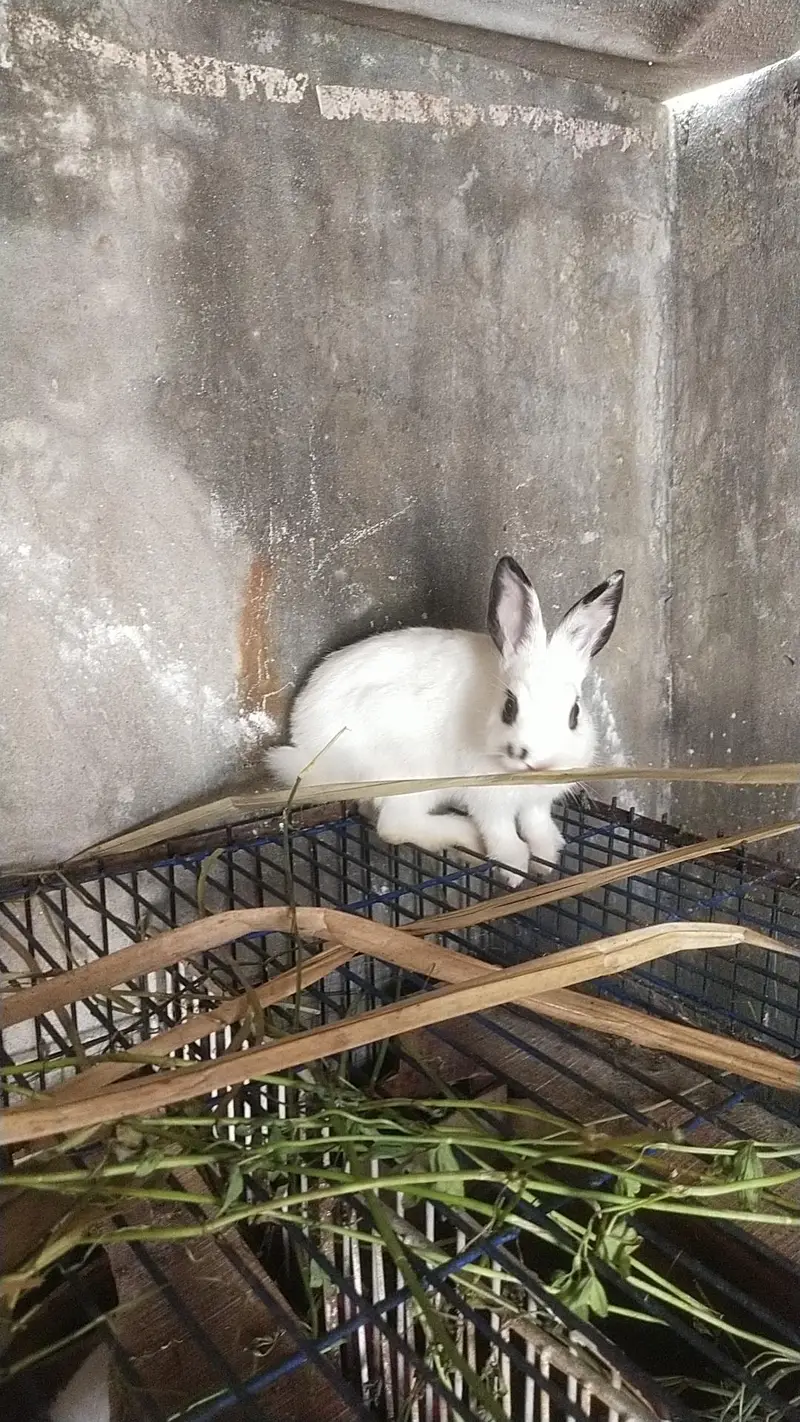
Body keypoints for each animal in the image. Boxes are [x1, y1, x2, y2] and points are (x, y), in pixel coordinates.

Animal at [268, 556, 624, 886]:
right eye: (509, 707)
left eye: (575, 713)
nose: (537, 762)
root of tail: (307, 746)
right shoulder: (487, 800)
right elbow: (502, 835)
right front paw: (514, 871)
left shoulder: (537, 804)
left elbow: (538, 826)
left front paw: (548, 858)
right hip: (411, 775)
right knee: (395, 826)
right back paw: (464, 835)